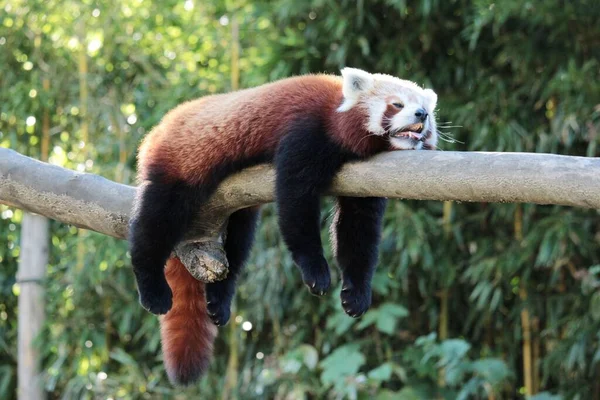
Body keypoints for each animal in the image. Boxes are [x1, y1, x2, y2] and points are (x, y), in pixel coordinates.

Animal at [129, 68, 438, 384]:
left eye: (426, 107)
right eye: (397, 104)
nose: (422, 114)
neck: (334, 117)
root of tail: (159, 129)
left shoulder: (366, 181)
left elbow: (358, 231)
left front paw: (357, 292)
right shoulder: (304, 132)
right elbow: (295, 203)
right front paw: (316, 271)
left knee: (236, 248)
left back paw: (219, 300)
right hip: (179, 163)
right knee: (155, 223)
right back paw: (152, 287)